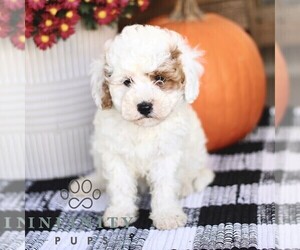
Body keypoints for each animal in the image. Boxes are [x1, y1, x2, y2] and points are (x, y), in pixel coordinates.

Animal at [77, 24, 213, 229]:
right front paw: (120, 212)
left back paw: (186, 185)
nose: (144, 106)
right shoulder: (114, 154)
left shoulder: (166, 154)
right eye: (127, 82)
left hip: (196, 152)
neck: (143, 128)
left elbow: (165, 185)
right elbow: (120, 184)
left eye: (160, 79)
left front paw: (167, 214)